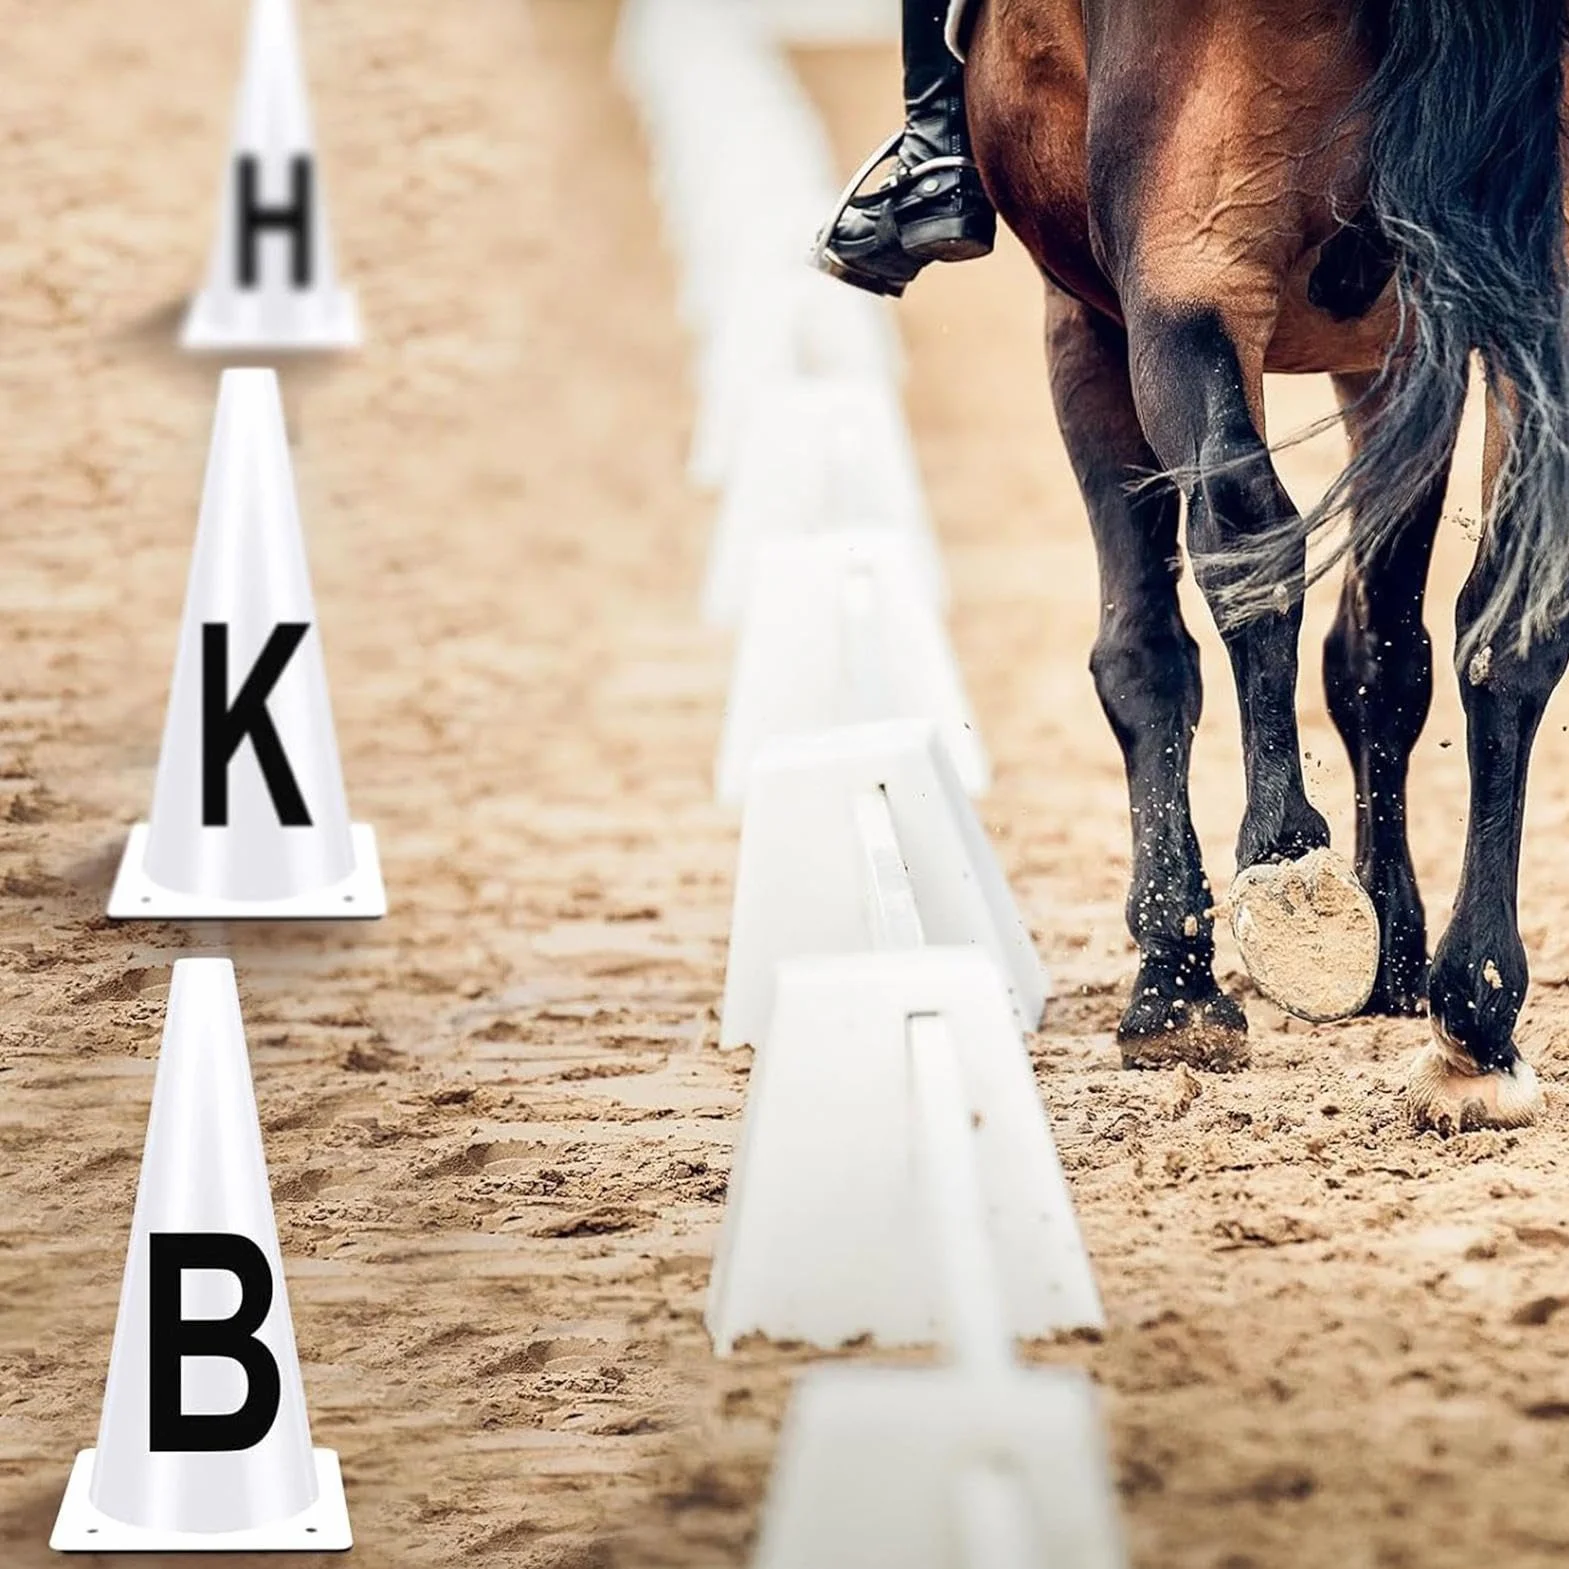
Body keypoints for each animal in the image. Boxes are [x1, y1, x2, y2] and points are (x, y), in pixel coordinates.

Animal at [957, 0, 1569, 1131]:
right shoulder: (1397, 350)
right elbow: (1383, 656)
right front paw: (1395, 952)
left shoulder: (1089, 316)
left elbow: (1144, 652)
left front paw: (1174, 976)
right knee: (1512, 621)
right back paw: (1474, 1018)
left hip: (1183, 263)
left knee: (1242, 530)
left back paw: (1286, 878)